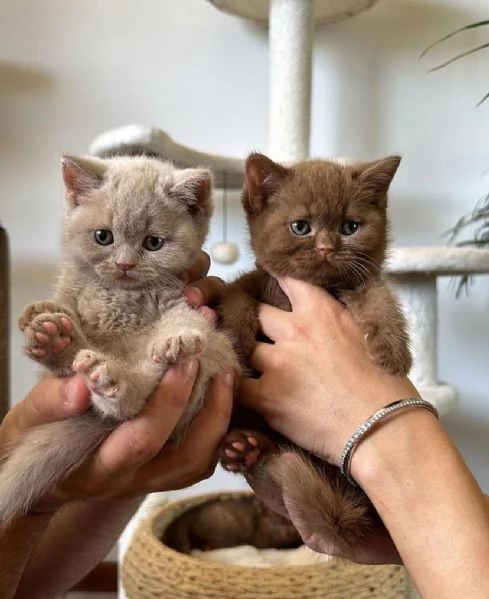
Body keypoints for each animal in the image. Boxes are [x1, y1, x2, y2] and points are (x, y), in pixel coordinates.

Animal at [0, 156, 238, 528]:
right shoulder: (72, 292)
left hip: (208, 363)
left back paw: (116, 380)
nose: (125, 264)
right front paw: (44, 320)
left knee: (136, 395)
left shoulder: (173, 300)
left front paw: (176, 339)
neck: (116, 295)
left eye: (153, 243)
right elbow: (69, 318)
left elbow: (185, 320)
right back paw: (55, 340)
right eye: (103, 236)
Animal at [215, 152, 410, 556]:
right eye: (300, 226)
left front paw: (393, 350)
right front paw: (237, 342)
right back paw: (242, 447)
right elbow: (235, 295)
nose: (326, 248)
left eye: (350, 226)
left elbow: (379, 295)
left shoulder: (360, 280)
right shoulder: (255, 281)